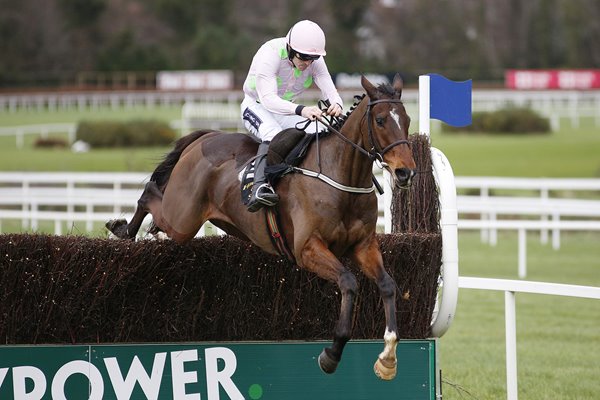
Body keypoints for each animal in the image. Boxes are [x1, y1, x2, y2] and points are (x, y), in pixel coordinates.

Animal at [106, 73, 418, 380]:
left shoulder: (363, 245)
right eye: (380, 120)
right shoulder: (307, 250)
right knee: (150, 193)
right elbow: (349, 282)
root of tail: (206, 137)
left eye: (406, 119)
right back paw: (123, 229)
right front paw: (332, 353)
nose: (406, 172)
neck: (339, 178)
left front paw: (388, 357)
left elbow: (387, 285)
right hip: (181, 219)